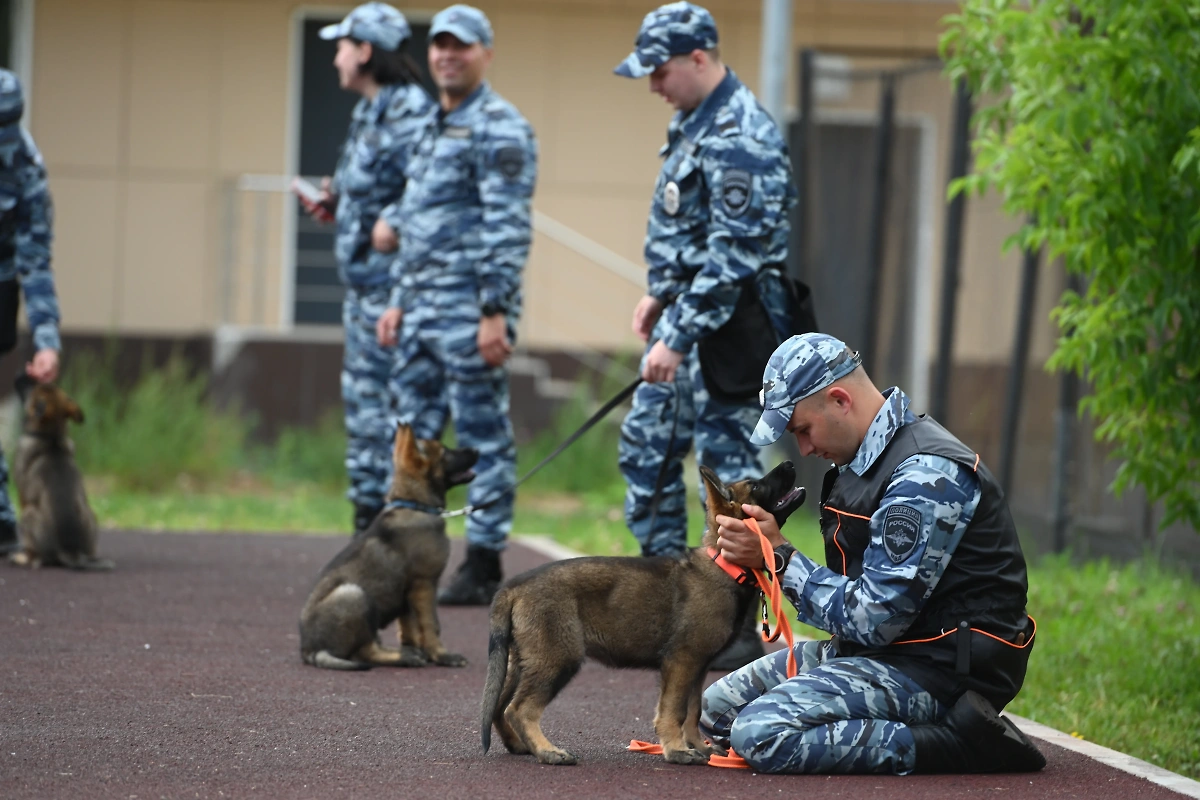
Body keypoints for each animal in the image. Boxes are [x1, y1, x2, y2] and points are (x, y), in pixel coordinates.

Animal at [9, 376, 111, 573]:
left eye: (34, 388)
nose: (21, 376)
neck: (51, 437)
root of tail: (70, 550)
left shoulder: (23, 496)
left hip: (27, 516)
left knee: (37, 558)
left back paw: (23, 558)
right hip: (92, 514)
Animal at [300, 424, 477, 671]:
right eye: (445, 453)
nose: (477, 449)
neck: (414, 504)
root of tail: (309, 650)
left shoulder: (407, 594)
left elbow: (410, 627)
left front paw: (421, 650)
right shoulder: (424, 584)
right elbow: (431, 624)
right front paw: (442, 655)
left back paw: (406, 653)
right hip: (354, 594)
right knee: (365, 652)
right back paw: (403, 657)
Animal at [480, 462, 806, 767]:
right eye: (755, 486)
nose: (791, 464)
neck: (723, 563)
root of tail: (514, 586)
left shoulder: (698, 666)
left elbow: (692, 710)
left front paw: (698, 747)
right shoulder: (682, 661)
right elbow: (674, 710)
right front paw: (676, 750)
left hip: (524, 660)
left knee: (498, 705)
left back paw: (519, 745)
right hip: (557, 658)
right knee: (519, 709)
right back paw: (548, 752)